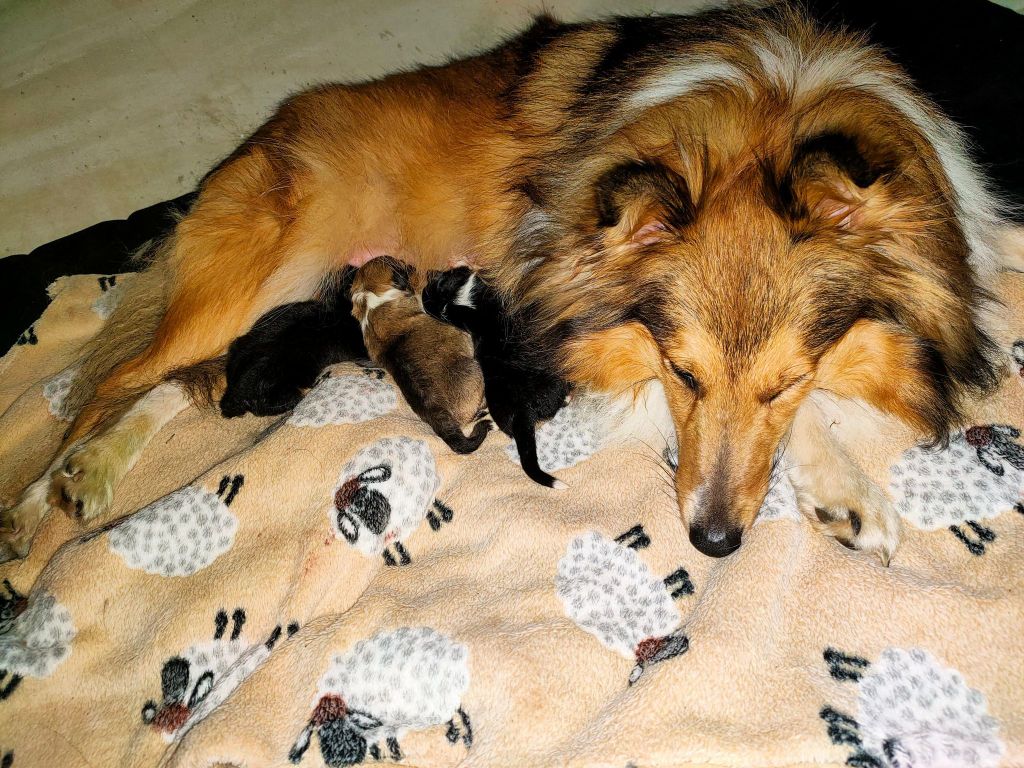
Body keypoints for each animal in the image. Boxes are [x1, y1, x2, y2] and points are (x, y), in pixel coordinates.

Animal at [419, 268, 573, 489]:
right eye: (437, 283)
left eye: (433, 289)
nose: (423, 295)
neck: (468, 296)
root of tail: (523, 411)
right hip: (554, 380)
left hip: (498, 403)